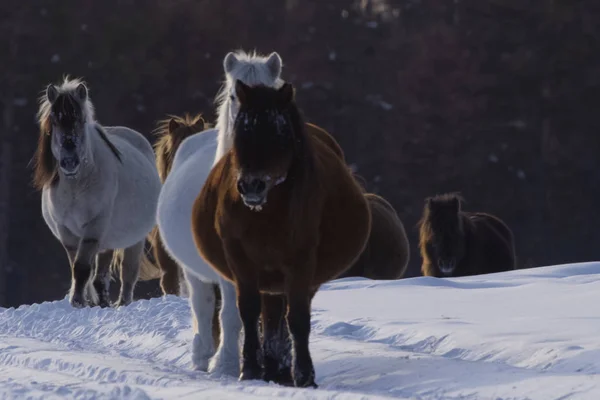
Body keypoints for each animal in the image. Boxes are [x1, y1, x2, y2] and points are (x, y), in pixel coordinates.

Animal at [34, 78, 162, 310]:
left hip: (133, 240)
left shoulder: (94, 227)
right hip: (107, 241)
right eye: (54, 122)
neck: (76, 186)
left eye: (81, 120)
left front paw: (77, 301)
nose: (69, 162)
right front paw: (84, 301)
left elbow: (82, 268)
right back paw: (102, 301)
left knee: (128, 273)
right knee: (101, 275)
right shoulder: (67, 232)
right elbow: (79, 269)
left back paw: (122, 303)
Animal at [156, 48, 284, 376]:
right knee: (202, 308)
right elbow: (231, 315)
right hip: (193, 271)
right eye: (234, 95)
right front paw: (227, 364)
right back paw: (204, 357)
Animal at [191, 81, 370, 388]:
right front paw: (250, 369)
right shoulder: (240, 259)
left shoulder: (300, 262)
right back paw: (271, 367)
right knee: (270, 316)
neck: (265, 214)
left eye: (280, 133)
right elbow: (249, 311)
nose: (252, 185)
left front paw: (305, 376)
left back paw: (281, 369)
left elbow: (297, 318)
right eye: (242, 130)